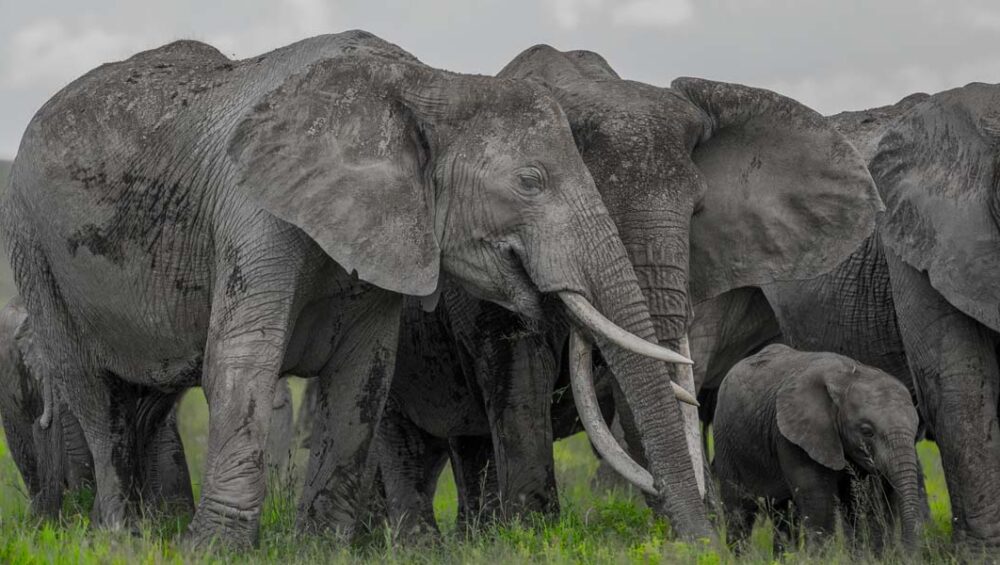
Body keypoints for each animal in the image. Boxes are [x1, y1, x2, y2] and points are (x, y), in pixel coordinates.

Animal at [0, 30, 708, 548]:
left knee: (149, 400)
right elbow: (242, 358)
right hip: (33, 248)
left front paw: (319, 547)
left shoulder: (385, 236)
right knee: (93, 393)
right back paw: (121, 536)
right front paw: (213, 550)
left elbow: (365, 373)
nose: (701, 544)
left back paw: (154, 530)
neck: (427, 86)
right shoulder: (251, 211)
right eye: (530, 182)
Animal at [713, 344, 922, 552]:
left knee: (783, 514)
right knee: (739, 511)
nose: (905, 552)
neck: (849, 376)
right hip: (726, 441)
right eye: (867, 431)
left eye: (915, 429)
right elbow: (820, 506)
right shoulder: (794, 437)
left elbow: (860, 504)